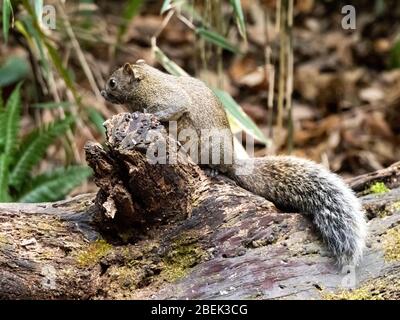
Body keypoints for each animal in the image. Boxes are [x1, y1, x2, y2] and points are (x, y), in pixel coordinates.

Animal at [101, 60, 368, 268]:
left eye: (112, 82)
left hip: (211, 148)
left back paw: (211, 168)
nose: (103, 94)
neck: (146, 82)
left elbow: (174, 107)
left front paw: (148, 116)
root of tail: (232, 162)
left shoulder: (169, 97)